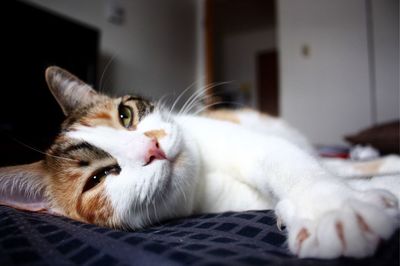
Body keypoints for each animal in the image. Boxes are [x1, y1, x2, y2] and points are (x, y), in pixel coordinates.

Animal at [0, 65, 400, 258]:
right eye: (98, 179)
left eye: (125, 115)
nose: (152, 148)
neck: (203, 177)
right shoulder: (234, 201)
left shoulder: (244, 142)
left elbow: (290, 162)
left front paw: (333, 209)